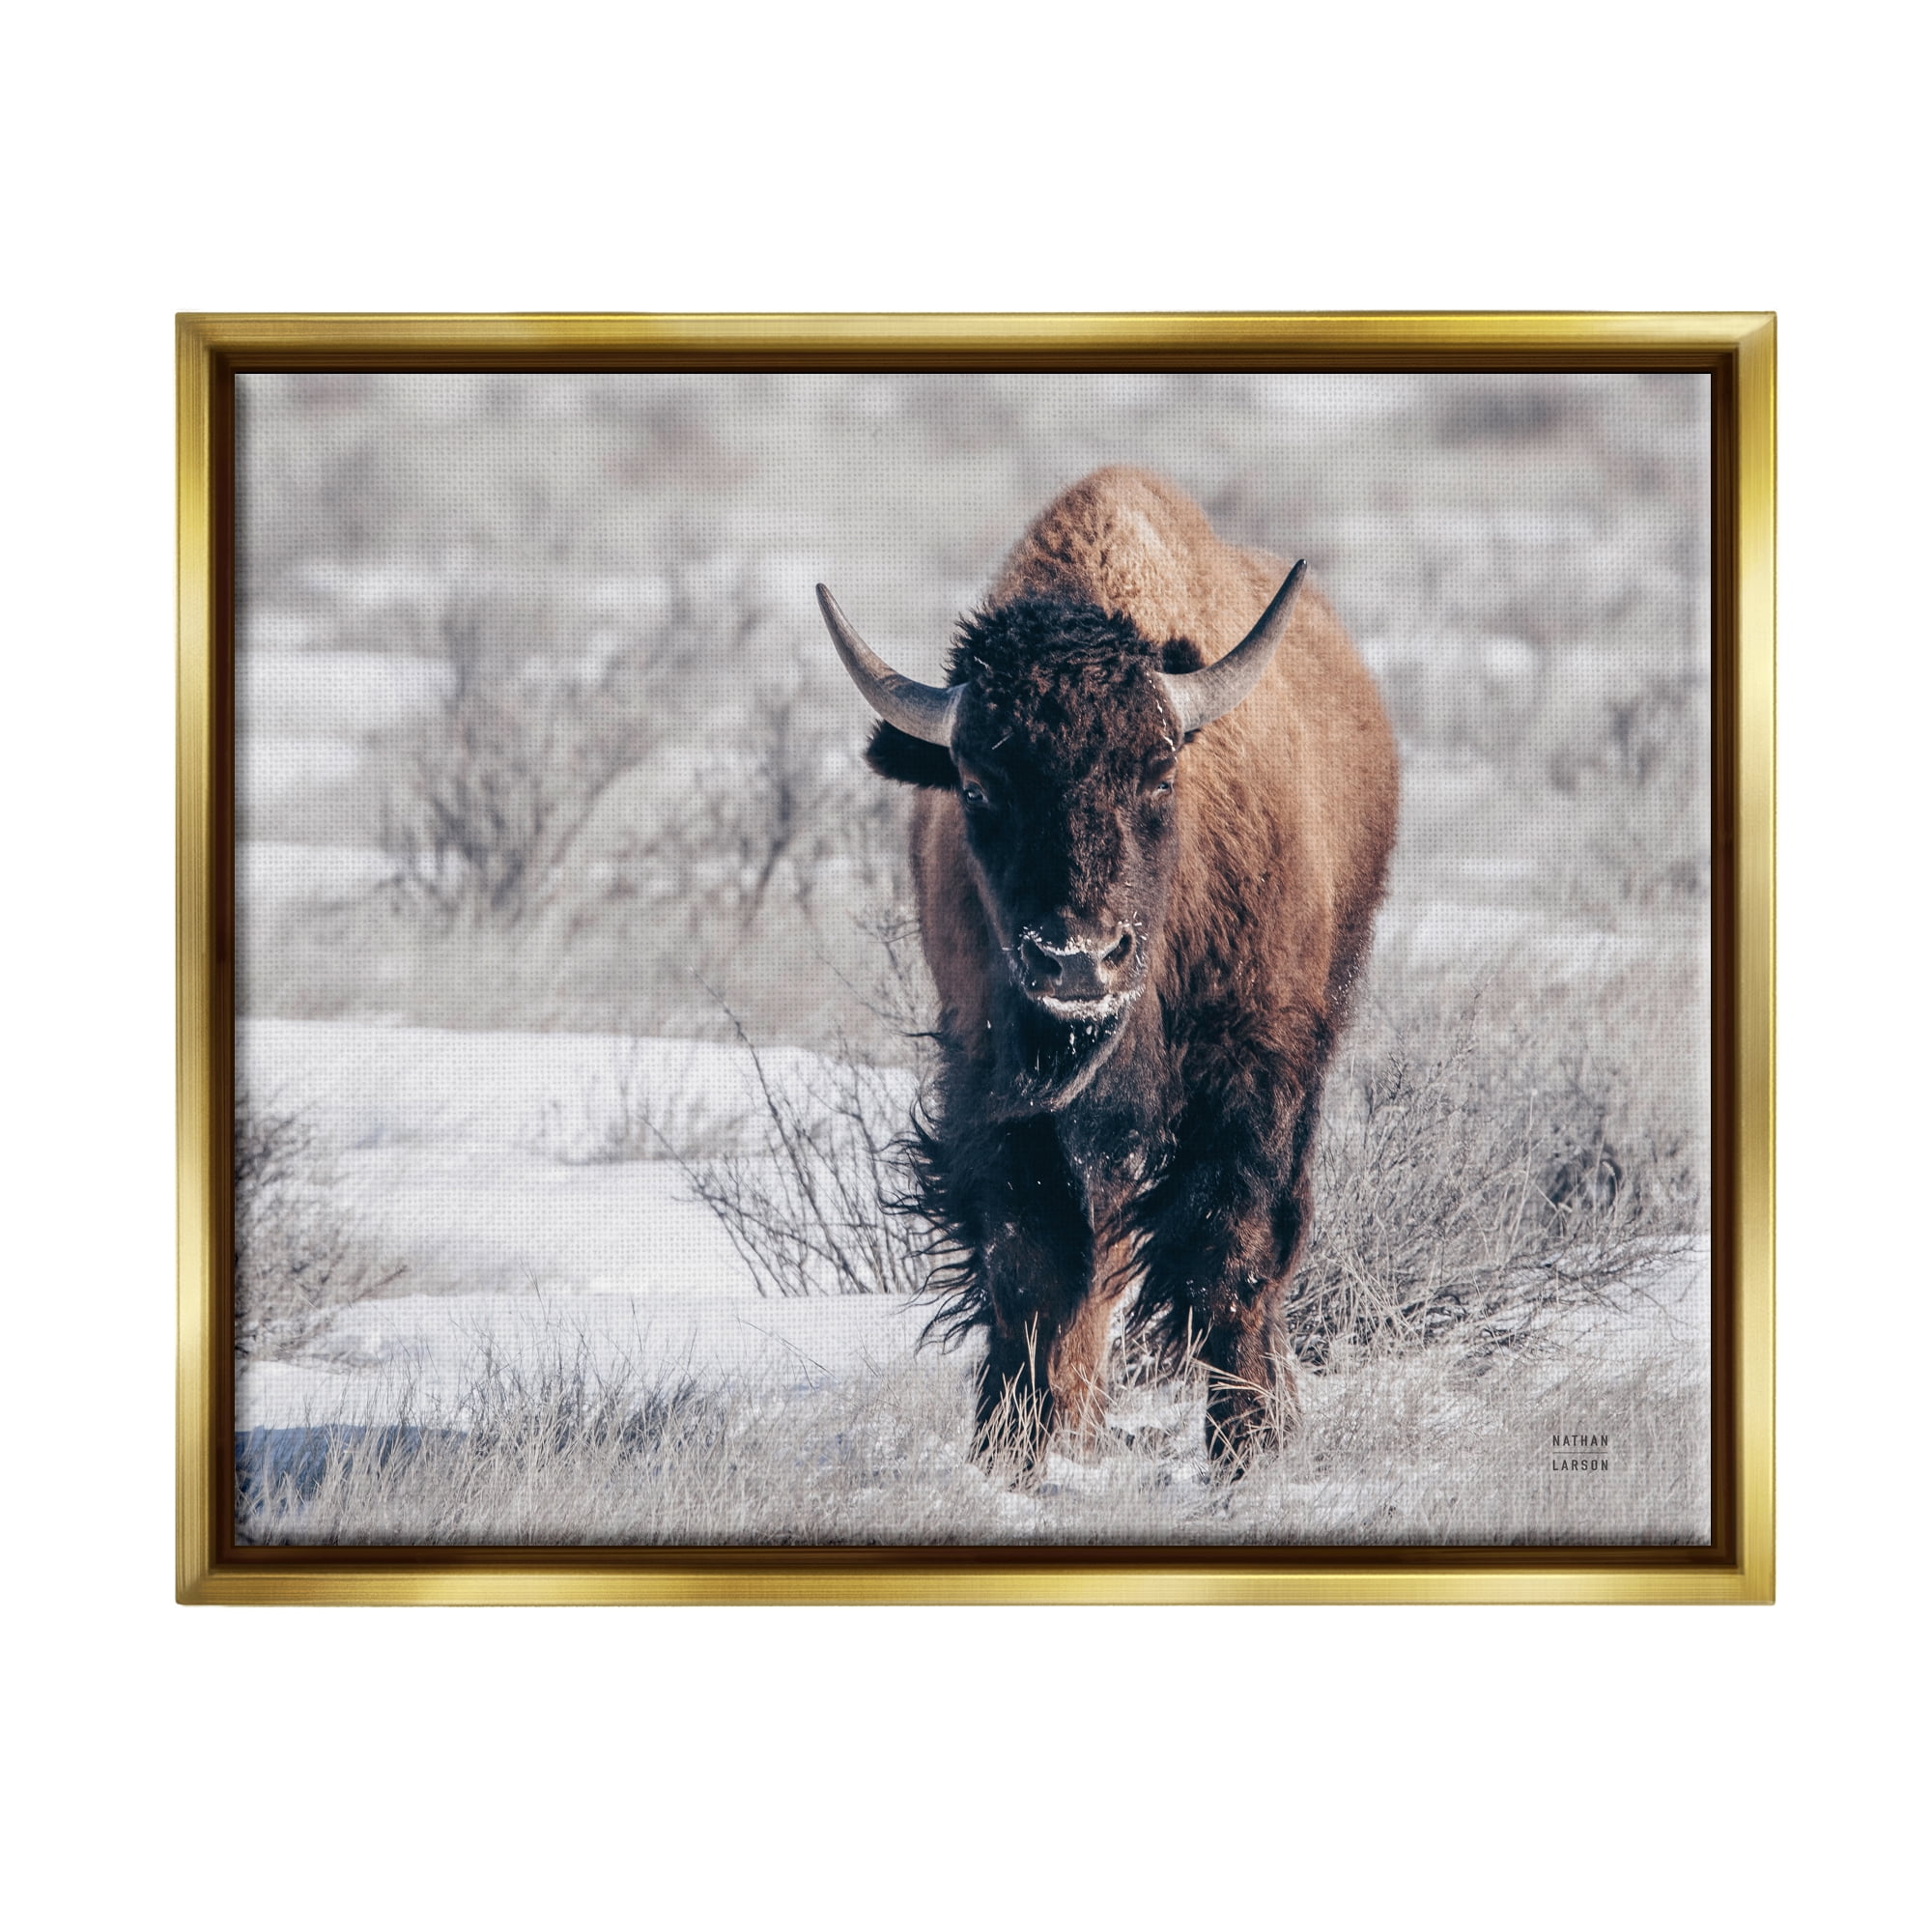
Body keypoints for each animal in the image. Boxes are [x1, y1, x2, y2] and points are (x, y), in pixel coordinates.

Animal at [817, 467, 1399, 1469]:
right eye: (977, 787)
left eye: (1159, 774)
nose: (1077, 960)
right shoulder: (995, 1084)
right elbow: (1030, 1265)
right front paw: (1010, 1449)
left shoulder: (1254, 1071)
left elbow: (1233, 1252)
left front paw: (1247, 1446)